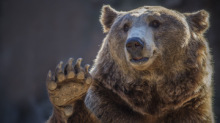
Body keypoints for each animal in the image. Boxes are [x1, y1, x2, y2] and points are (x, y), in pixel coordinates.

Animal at [46, 4, 213, 123]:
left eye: (156, 22)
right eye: (125, 26)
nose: (134, 43)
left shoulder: (189, 107)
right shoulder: (108, 101)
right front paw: (68, 87)